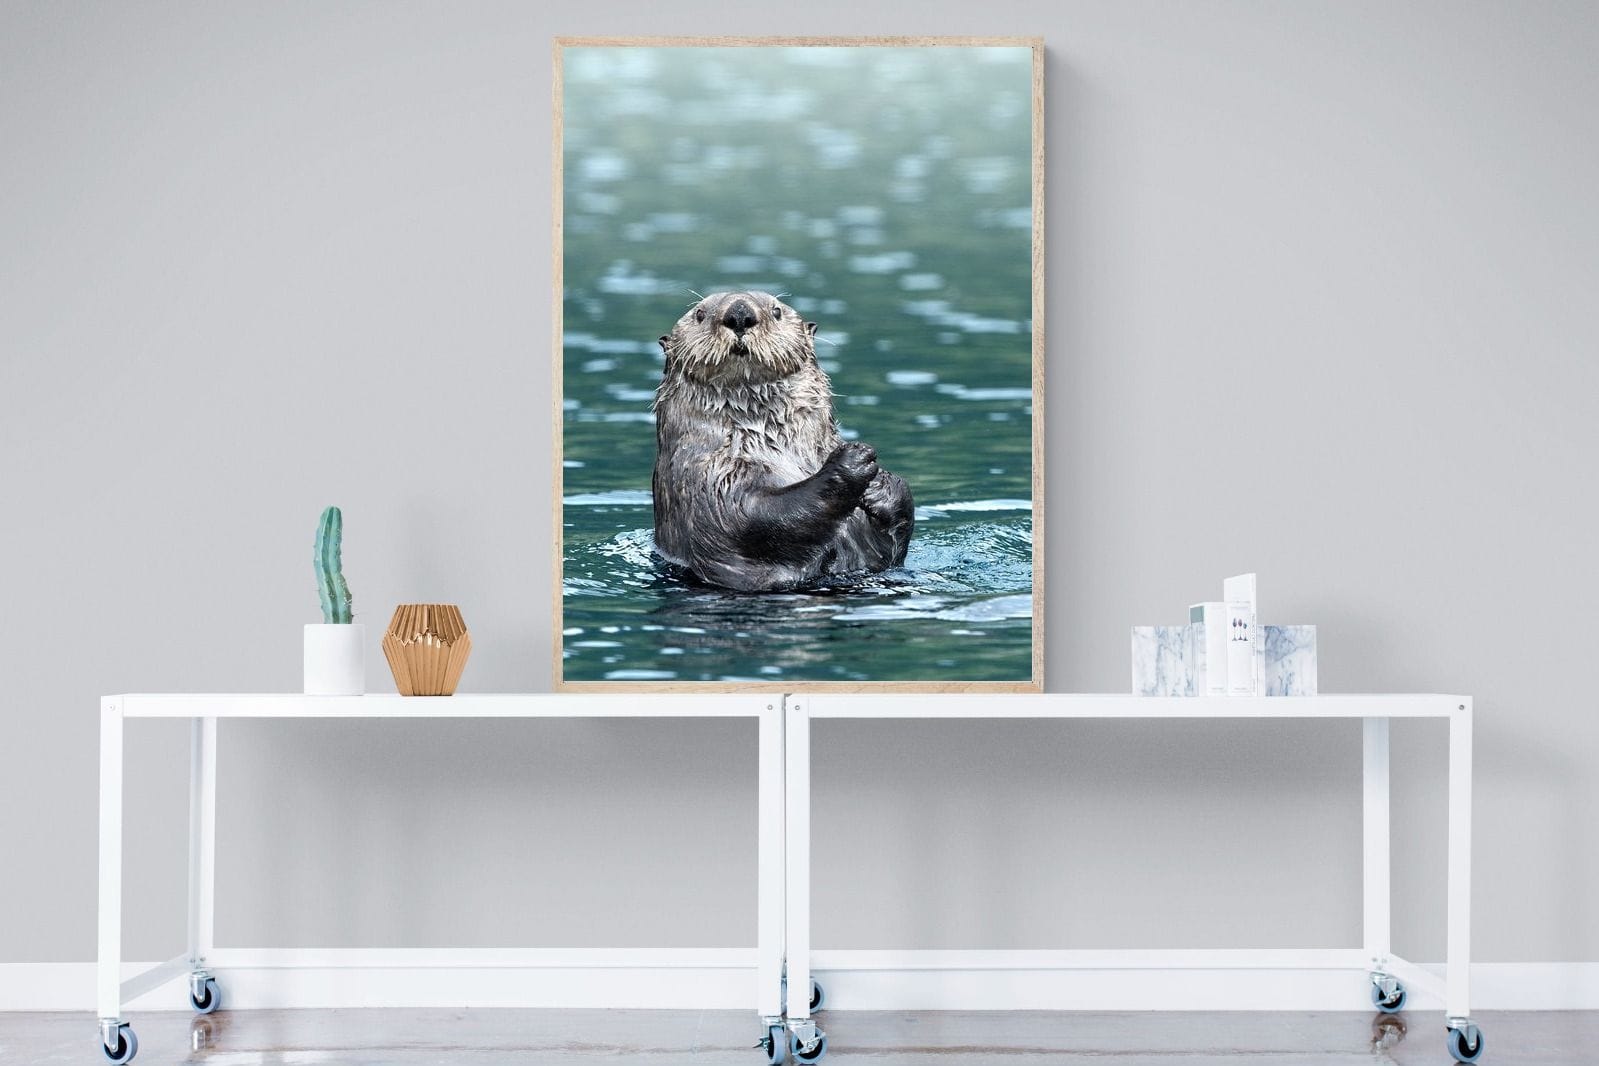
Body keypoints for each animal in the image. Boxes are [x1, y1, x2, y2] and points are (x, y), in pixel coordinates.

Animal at [651, 290, 915, 592]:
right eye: (699, 314)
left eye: (776, 311)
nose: (739, 313)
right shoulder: (706, 478)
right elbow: (752, 516)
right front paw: (852, 460)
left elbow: (889, 551)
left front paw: (882, 485)